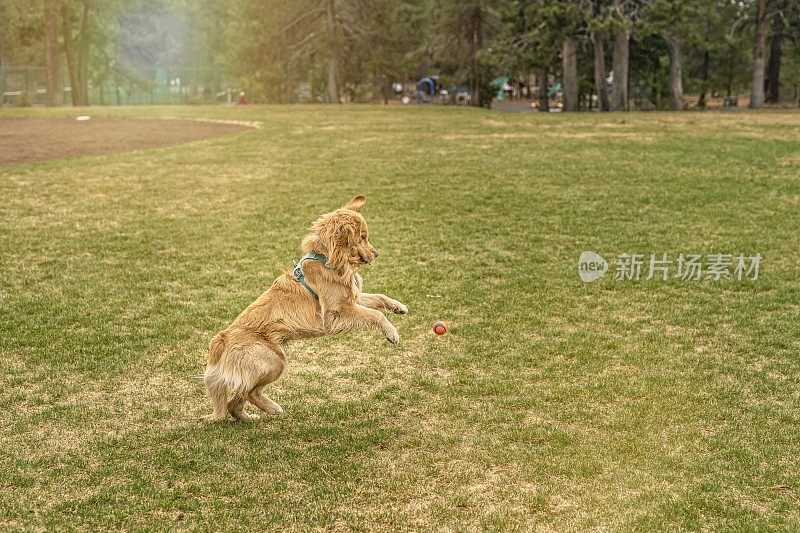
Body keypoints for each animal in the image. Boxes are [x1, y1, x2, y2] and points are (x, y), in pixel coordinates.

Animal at [205, 194, 406, 420]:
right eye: (363, 238)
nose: (377, 254)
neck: (328, 259)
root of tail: (222, 338)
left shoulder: (353, 299)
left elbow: (380, 298)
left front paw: (399, 307)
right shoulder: (335, 315)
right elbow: (376, 314)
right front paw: (392, 333)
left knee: (235, 400)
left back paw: (249, 418)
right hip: (275, 361)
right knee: (248, 391)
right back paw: (272, 408)